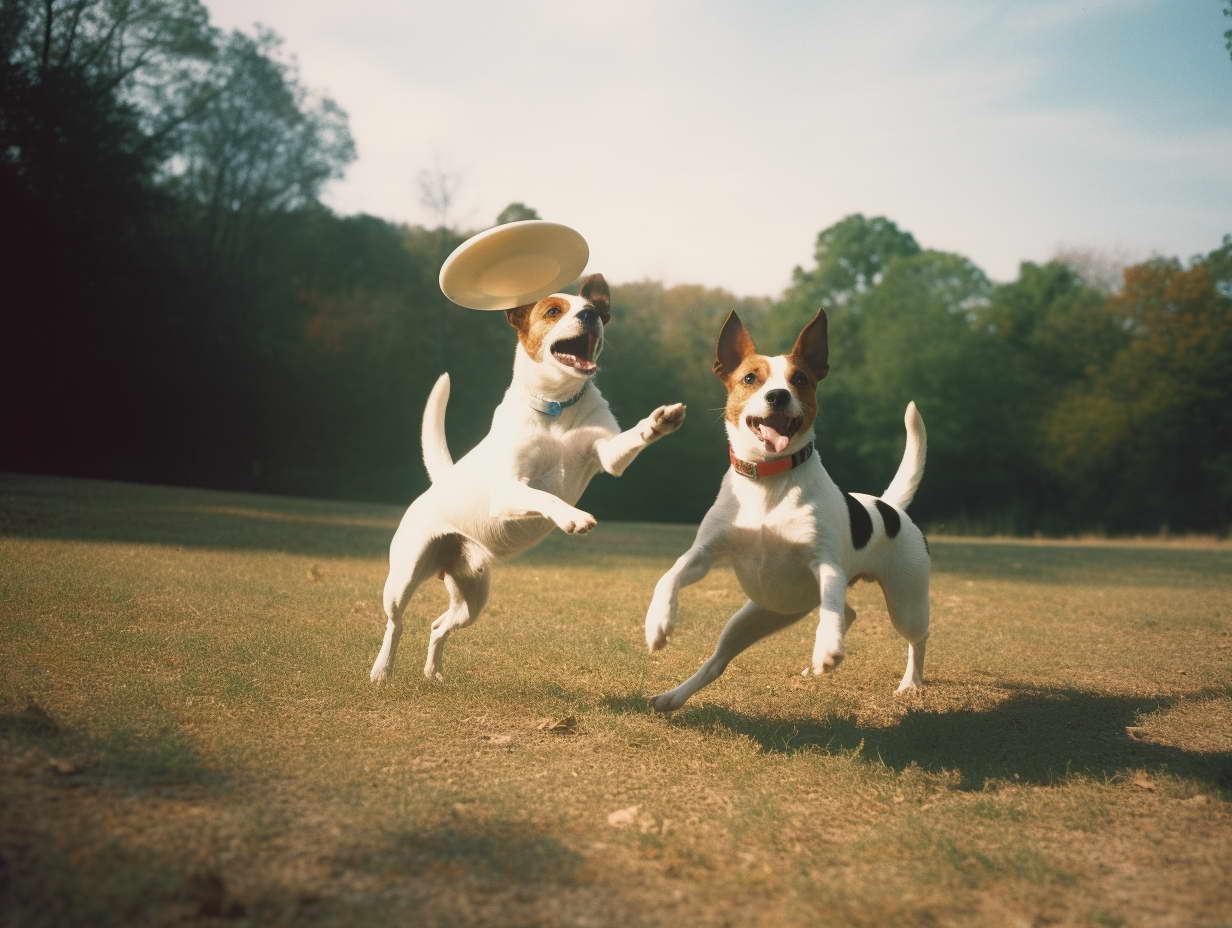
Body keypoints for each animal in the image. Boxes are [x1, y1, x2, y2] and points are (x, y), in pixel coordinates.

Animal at [369, 273, 689, 680]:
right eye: (553, 311)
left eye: (596, 310)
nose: (589, 314)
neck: (556, 407)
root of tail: (441, 482)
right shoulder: (509, 491)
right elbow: (544, 496)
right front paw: (573, 517)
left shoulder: (608, 454)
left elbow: (632, 438)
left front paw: (659, 422)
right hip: (404, 576)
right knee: (396, 623)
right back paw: (382, 670)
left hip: (472, 597)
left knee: (438, 625)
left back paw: (434, 672)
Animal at [645, 305, 926, 709]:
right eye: (750, 378)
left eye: (800, 379)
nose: (778, 395)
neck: (767, 480)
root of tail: (889, 507)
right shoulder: (703, 554)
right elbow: (670, 575)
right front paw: (658, 622)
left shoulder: (825, 564)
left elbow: (831, 603)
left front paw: (827, 647)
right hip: (758, 616)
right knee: (717, 663)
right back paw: (673, 697)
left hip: (906, 602)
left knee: (914, 639)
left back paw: (911, 682)